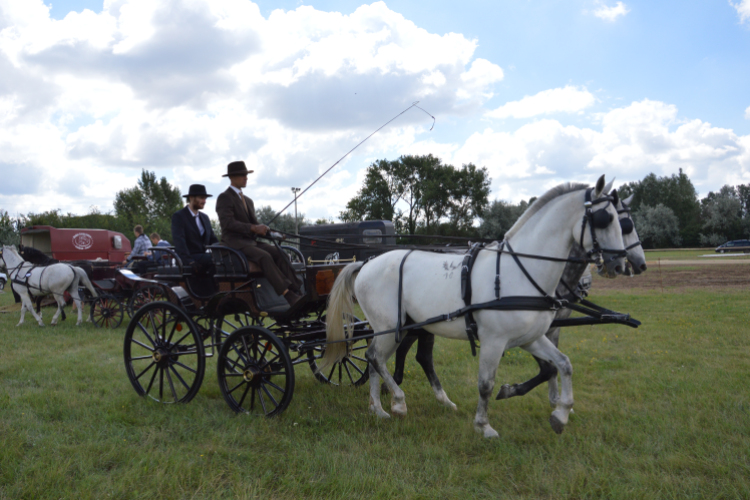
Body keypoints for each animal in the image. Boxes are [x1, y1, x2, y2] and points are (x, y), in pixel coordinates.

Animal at [324, 176, 628, 438]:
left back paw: (378, 409)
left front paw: (561, 414)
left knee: (378, 360)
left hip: (397, 328)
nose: (619, 264)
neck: (520, 271)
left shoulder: (530, 338)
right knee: (375, 357)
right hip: (388, 327)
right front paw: (484, 425)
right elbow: (486, 384)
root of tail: (366, 263)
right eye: (606, 219)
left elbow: (563, 364)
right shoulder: (494, 340)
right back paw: (397, 401)